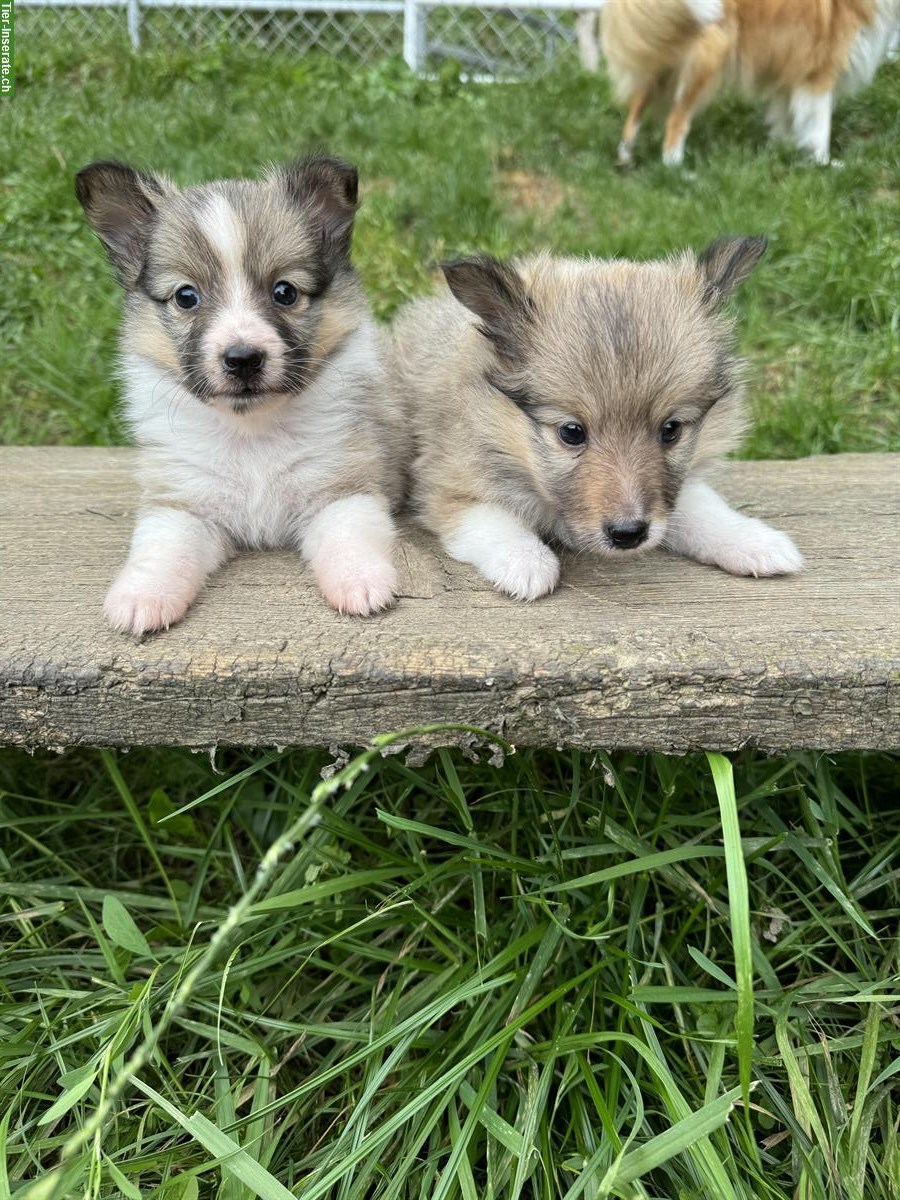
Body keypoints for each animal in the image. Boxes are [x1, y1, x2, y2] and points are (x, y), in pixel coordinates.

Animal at [77, 154, 408, 633]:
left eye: (284, 291)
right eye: (186, 296)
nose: (243, 358)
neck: (250, 430)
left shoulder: (341, 487)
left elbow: (349, 535)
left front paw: (362, 582)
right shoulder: (183, 503)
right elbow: (161, 550)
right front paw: (141, 598)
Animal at [391, 234, 806, 600]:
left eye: (671, 429)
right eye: (572, 432)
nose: (628, 534)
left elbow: (700, 507)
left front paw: (751, 540)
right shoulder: (445, 481)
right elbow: (488, 516)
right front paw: (525, 561)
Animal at [600, 0, 900, 169]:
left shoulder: (789, 74)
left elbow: (786, 119)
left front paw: (784, 150)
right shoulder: (818, 76)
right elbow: (818, 129)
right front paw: (824, 164)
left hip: (665, 60)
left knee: (637, 106)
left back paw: (625, 156)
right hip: (706, 64)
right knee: (677, 119)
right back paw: (676, 168)